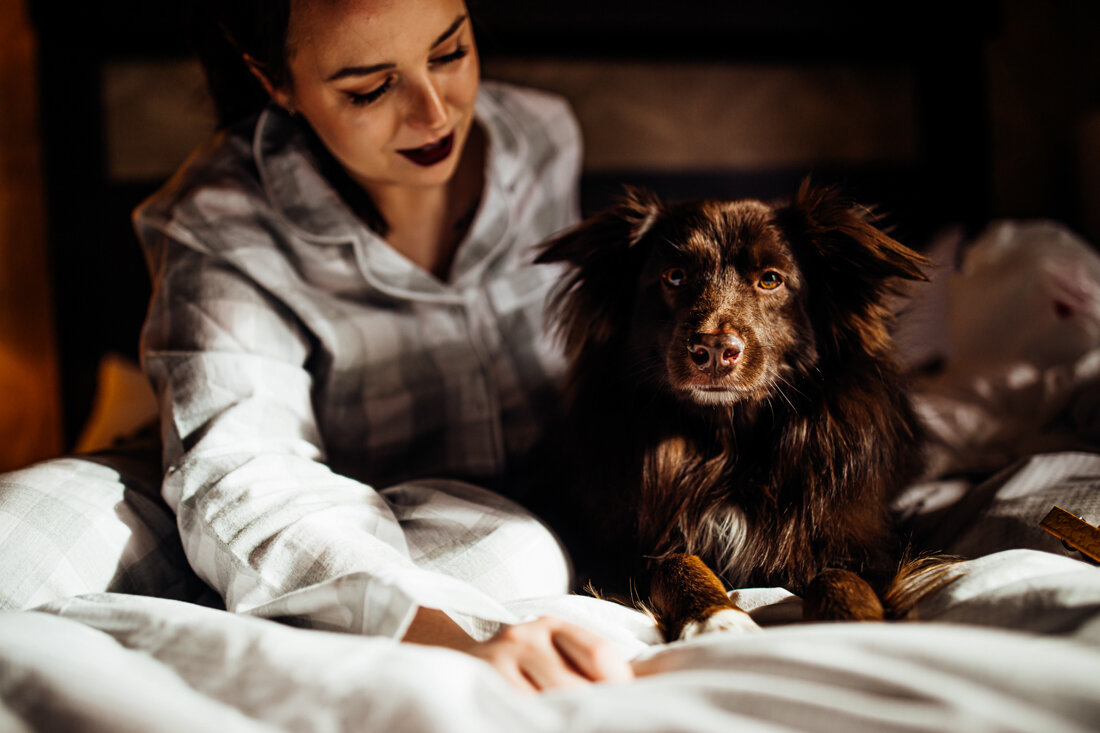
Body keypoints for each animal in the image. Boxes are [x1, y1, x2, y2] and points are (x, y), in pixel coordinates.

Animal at [532, 179, 954, 638]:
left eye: (770, 280)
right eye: (674, 276)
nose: (715, 350)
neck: (727, 440)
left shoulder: (855, 542)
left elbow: (840, 576)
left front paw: (851, 622)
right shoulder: (622, 553)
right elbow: (677, 564)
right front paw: (716, 617)